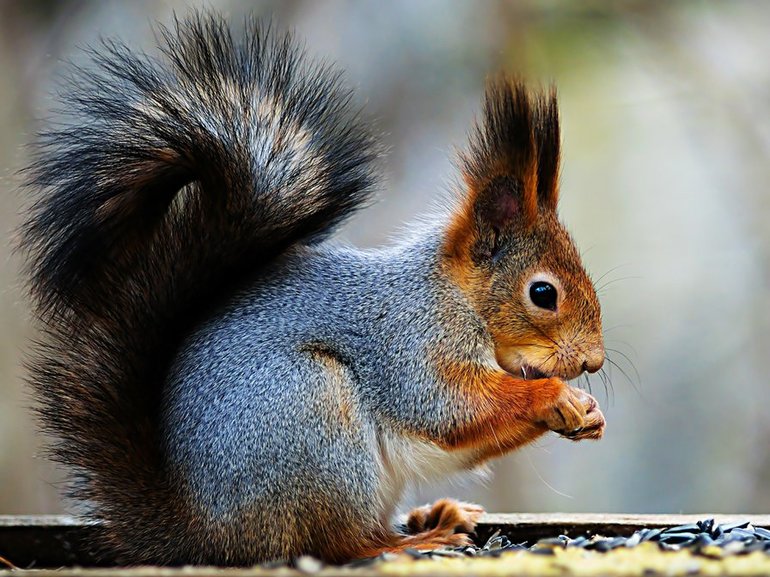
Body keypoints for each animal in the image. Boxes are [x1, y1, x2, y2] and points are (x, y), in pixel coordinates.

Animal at [20, 13, 606, 566]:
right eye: (543, 294)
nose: (594, 363)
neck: (457, 297)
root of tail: (203, 531)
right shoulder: (410, 344)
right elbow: (449, 408)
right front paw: (556, 397)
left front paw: (588, 414)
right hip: (314, 417)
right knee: (337, 544)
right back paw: (412, 541)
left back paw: (437, 515)